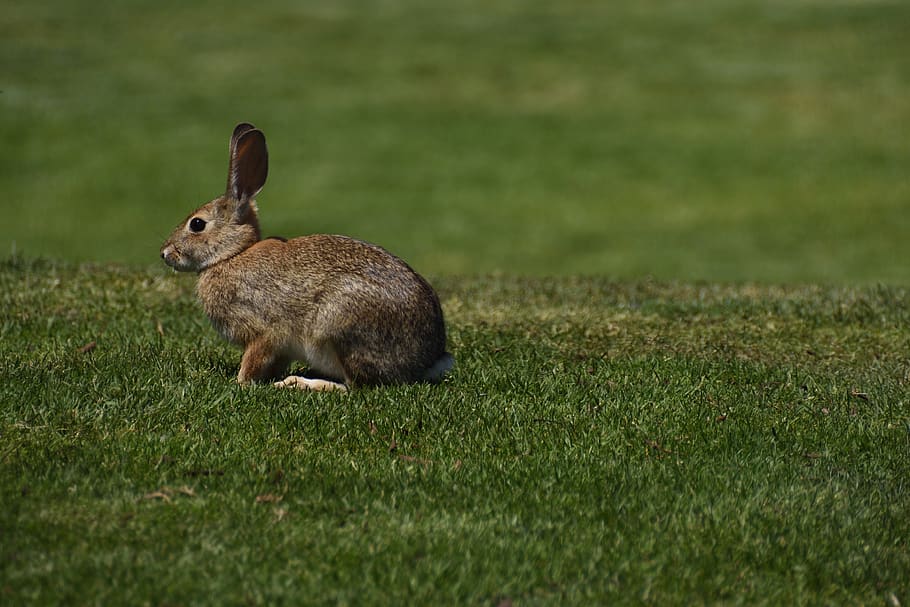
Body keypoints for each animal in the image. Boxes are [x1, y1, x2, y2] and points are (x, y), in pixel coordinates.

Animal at [161, 123, 453, 392]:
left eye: (197, 224)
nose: (165, 253)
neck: (232, 255)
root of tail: (426, 361)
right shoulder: (279, 349)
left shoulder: (264, 330)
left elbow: (254, 359)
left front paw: (240, 383)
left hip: (337, 324)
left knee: (354, 386)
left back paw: (297, 383)